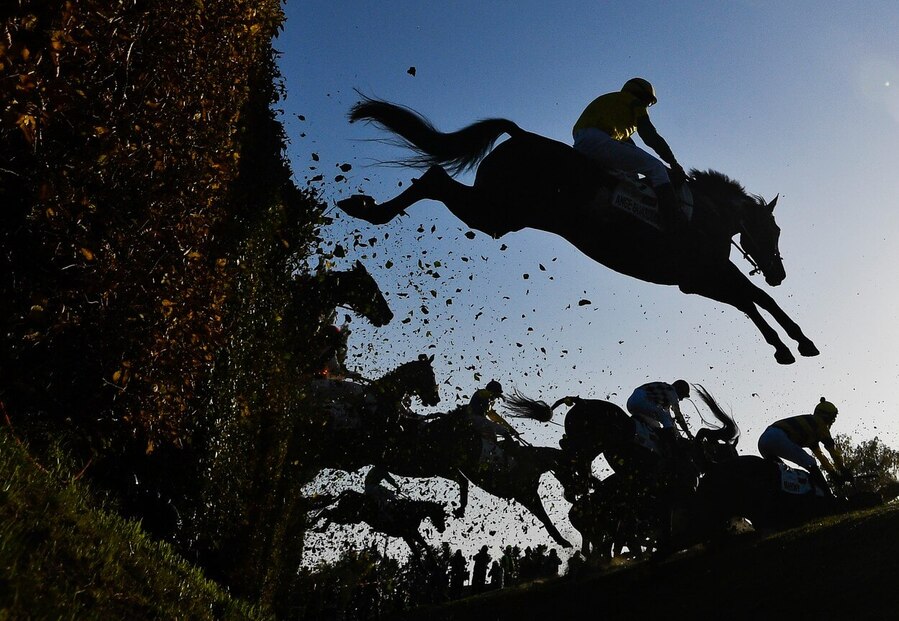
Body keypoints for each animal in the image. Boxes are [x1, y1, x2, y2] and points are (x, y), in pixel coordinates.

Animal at [312, 490, 448, 560]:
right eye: (441, 515)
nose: (442, 529)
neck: (410, 511)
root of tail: (350, 492)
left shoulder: (413, 533)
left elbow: (425, 546)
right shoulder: (407, 535)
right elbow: (417, 553)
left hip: (349, 517)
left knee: (328, 513)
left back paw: (318, 527)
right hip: (348, 516)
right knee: (327, 513)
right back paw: (314, 524)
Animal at [336, 97, 816, 364]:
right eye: (772, 231)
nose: (779, 272)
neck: (707, 215)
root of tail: (520, 136)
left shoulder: (698, 281)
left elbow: (751, 303)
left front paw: (789, 343)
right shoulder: (705, 273)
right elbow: (757, 300)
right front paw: (794, 342)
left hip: (498, 214)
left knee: (435, 180)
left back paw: (364, 208)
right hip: (497, 211)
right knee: (434, 179)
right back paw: (371, 212)